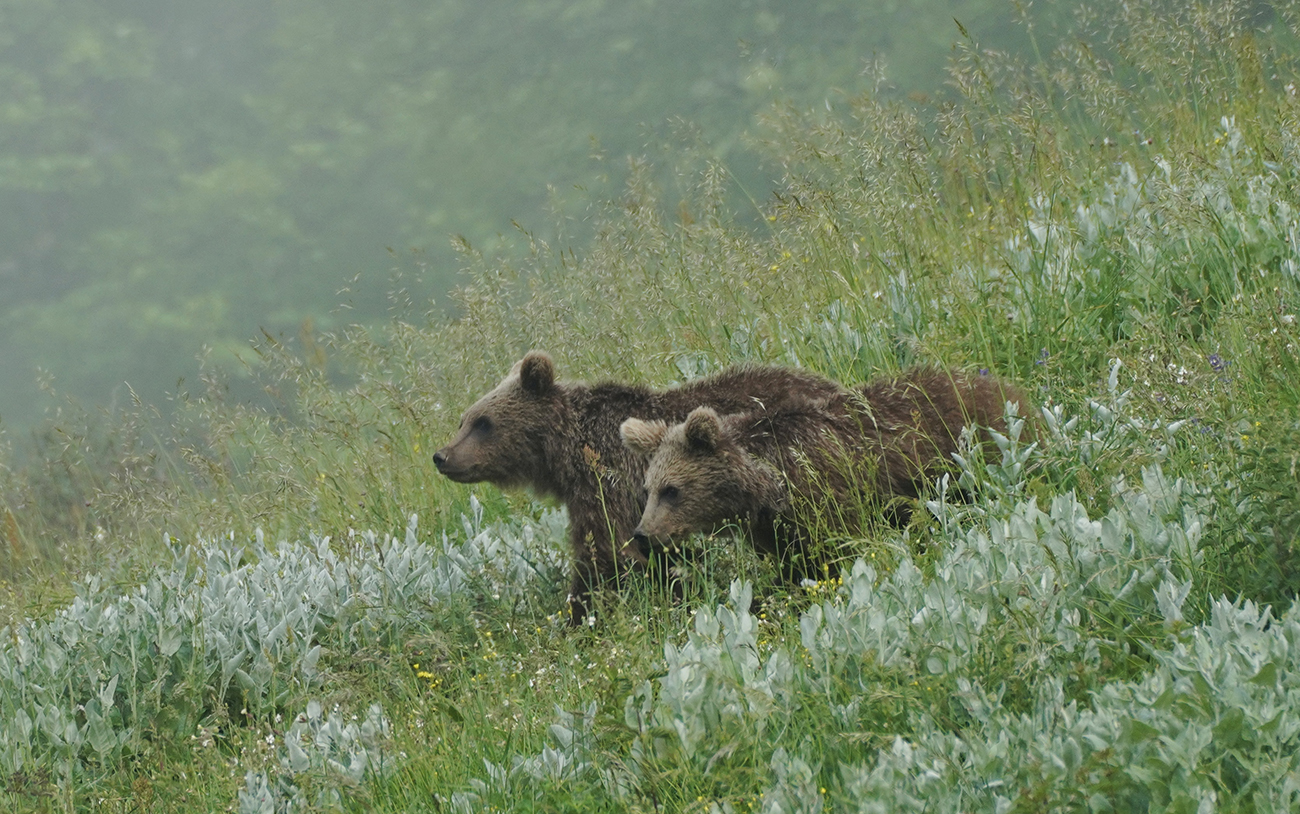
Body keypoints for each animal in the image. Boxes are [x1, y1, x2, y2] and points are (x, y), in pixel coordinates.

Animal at [431, 348, 847, 621]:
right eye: (464, 420)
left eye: (483, 422)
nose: (442, 456)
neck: (567, 452)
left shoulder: (609, 481)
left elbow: (605, 554)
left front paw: (579, 619)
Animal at [618, 366, 1024, 582]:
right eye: (648, 489)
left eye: (672, 490)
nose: (643, 535)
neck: (766, 486)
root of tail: (998, 383)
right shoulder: (773, 528)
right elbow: (795, 567)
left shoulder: (824, 493)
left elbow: (843, 548)